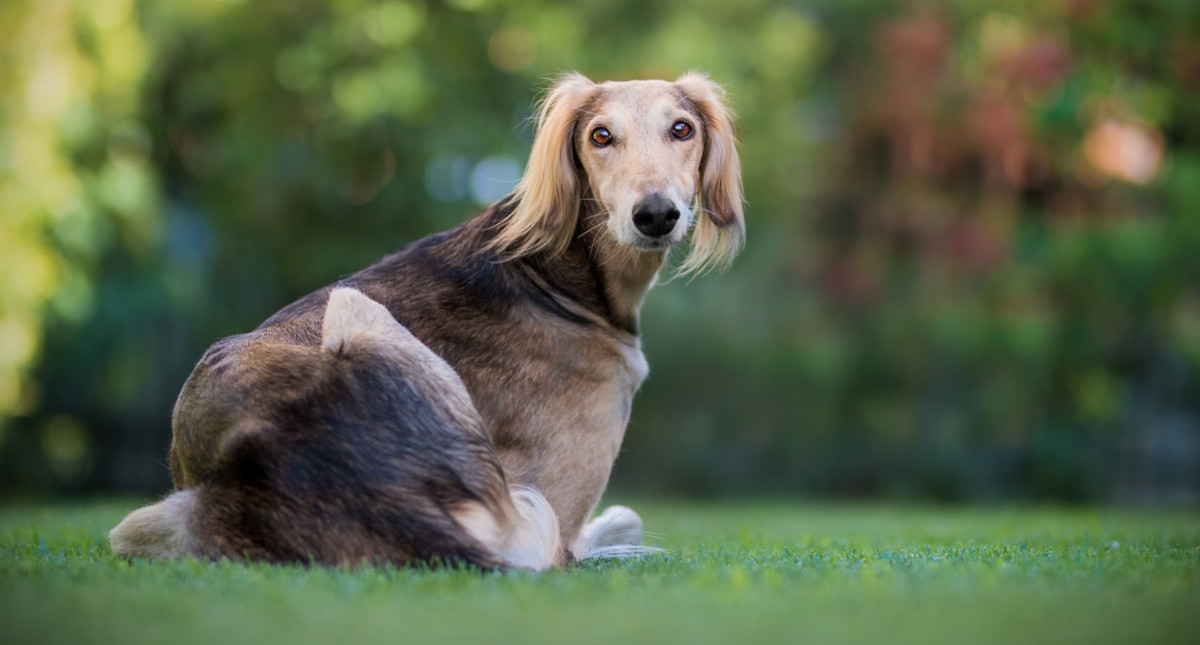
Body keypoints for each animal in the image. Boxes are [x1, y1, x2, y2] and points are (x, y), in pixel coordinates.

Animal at [114, 72, 748, 570]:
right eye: (600, 136)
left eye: (682, 129)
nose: (656, 215)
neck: (556, 271)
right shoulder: (559, 505)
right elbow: (607, 526)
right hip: (353, 304)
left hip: (146, 522)